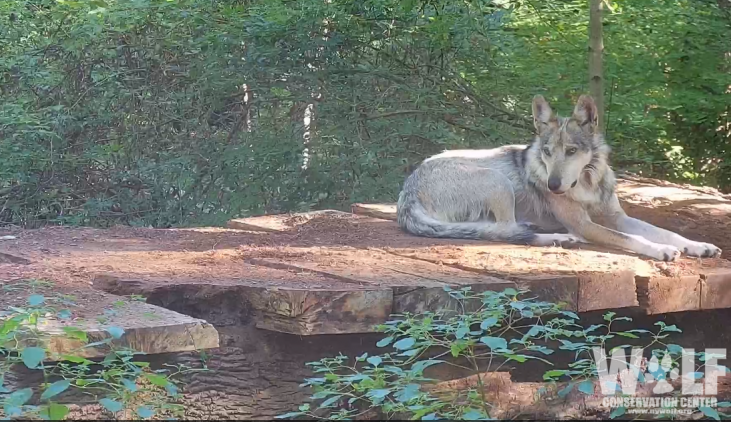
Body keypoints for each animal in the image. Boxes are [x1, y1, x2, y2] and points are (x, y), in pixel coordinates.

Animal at [397, 94, 721, 261]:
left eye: (572, 151)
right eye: (547, 152)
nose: (553, 186)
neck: (587, 183)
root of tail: (407, 191)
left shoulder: (617, 217)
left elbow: (663, 231)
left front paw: (696, 245)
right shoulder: (585, 225)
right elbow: (633, 238)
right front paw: (661, 250)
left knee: (501, 229)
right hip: (496, 181)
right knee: (505, 232)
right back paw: (558, 238)